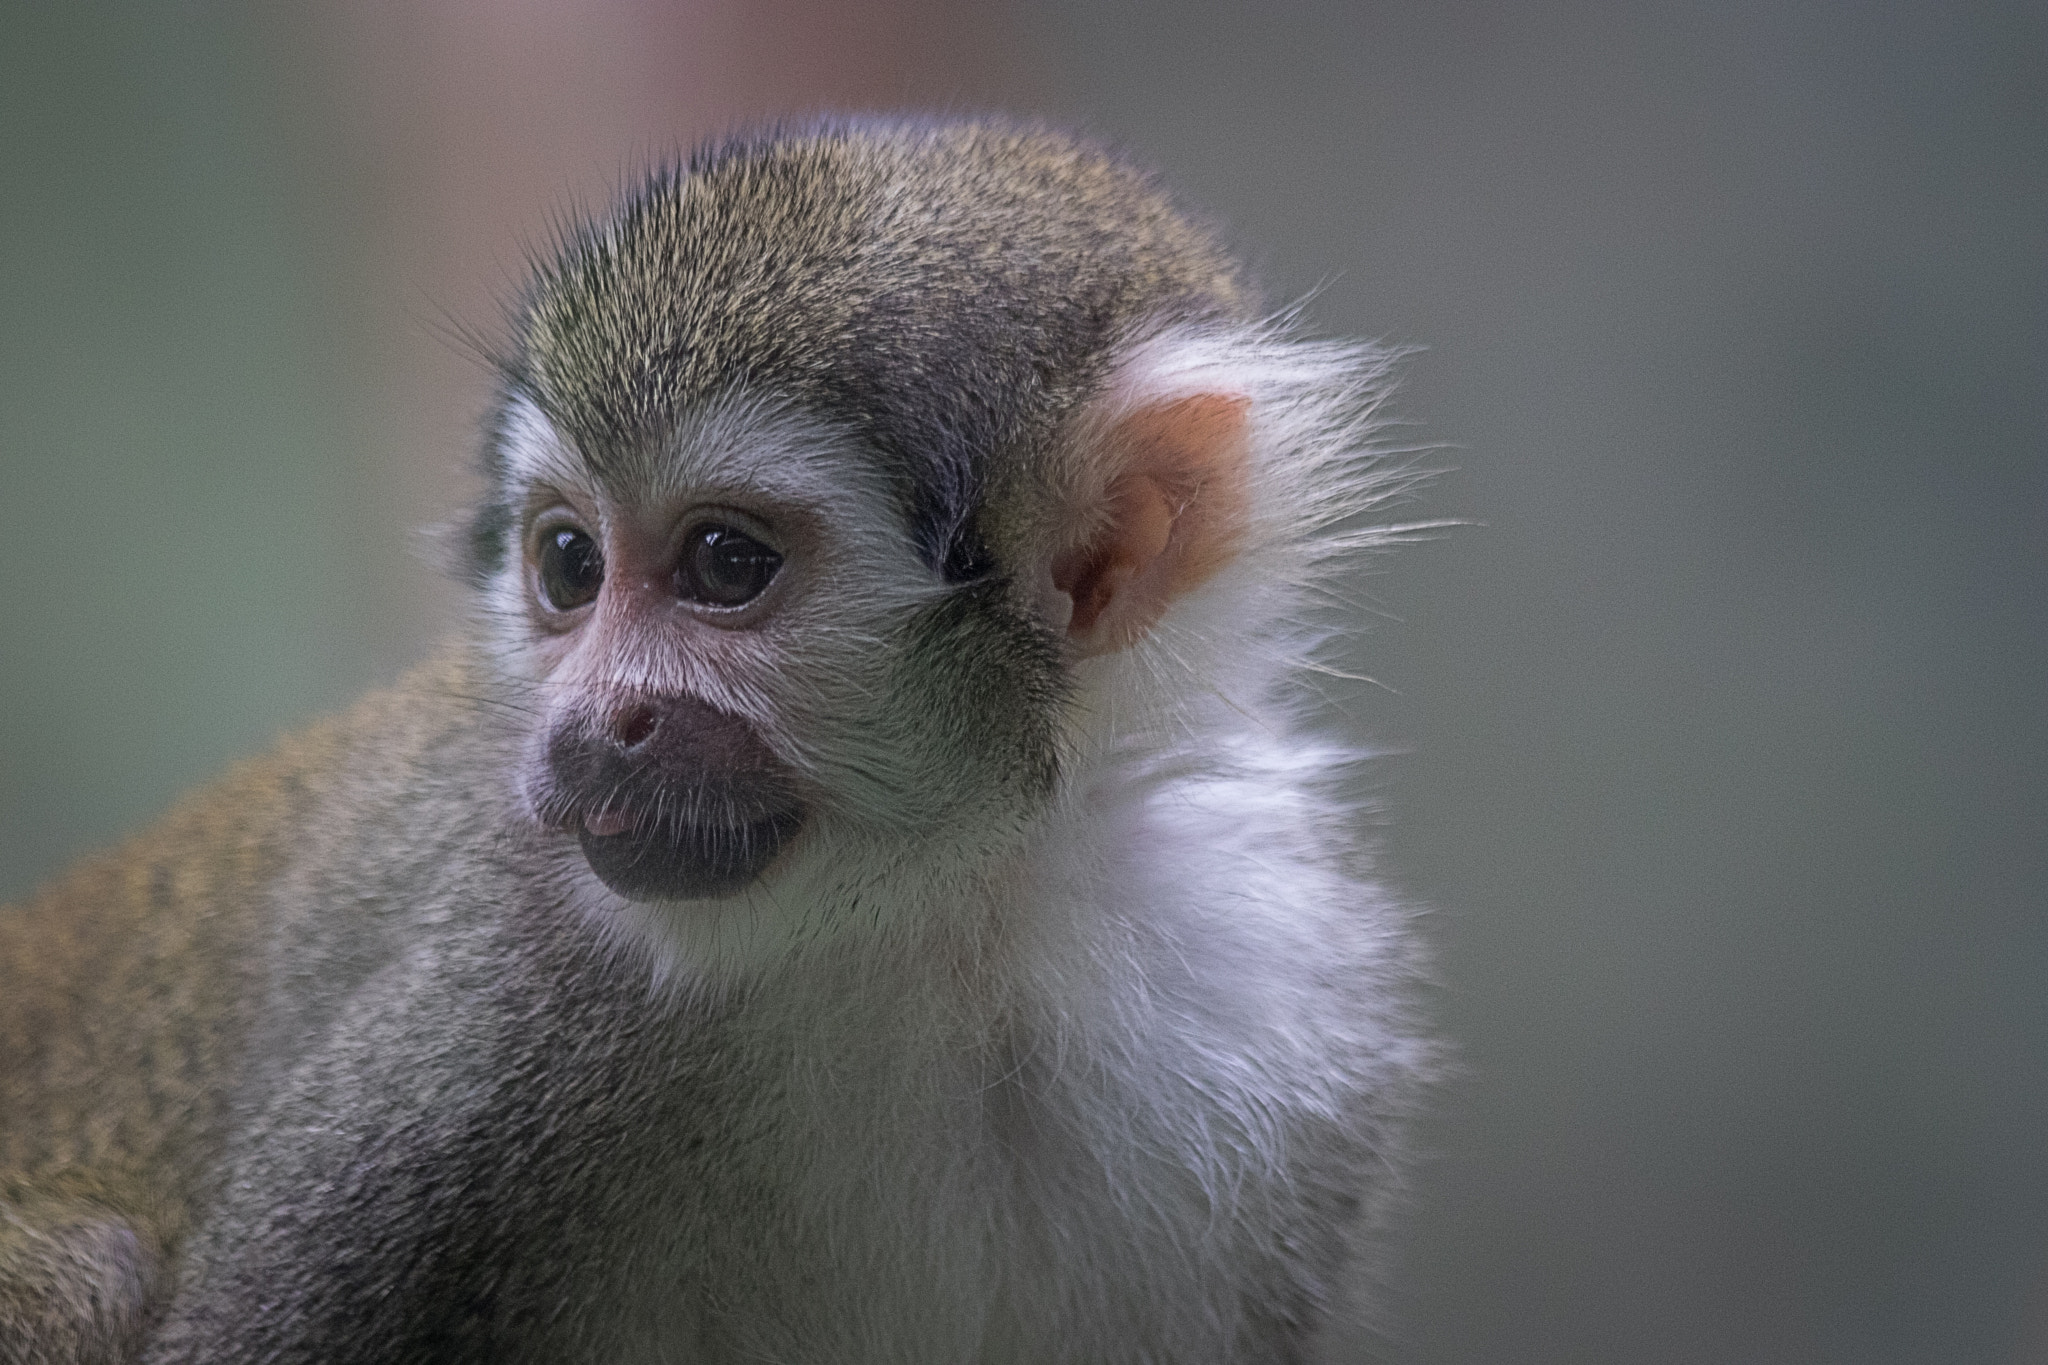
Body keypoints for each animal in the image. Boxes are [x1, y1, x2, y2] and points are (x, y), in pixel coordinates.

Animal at [0, 118, 1434, 1363]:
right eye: (568, 565)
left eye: (724, 566)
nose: (595, 721)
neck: (944, 914)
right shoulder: (495, 1024)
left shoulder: (1285, 999)